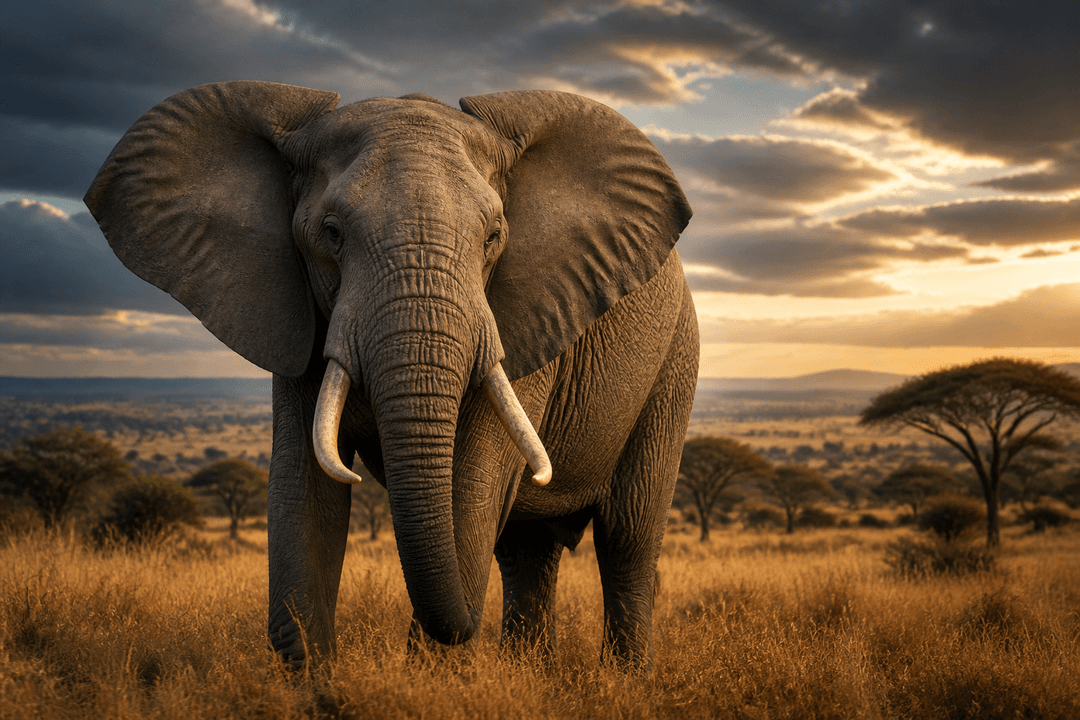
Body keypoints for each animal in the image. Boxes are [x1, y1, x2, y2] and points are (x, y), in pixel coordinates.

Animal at [84, 81, 699, 671]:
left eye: (493, 237)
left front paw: (430, 678)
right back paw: (533, 673)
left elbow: (471, 485)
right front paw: (313, 687)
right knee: (527, 551)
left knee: (627, 539)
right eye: (331, 233)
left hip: (674, 366)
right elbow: (304, 490)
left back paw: (624, 680)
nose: (467, 627)